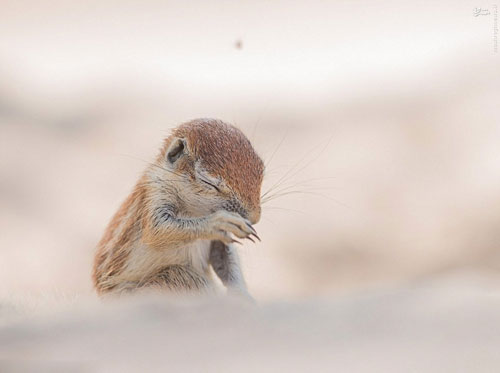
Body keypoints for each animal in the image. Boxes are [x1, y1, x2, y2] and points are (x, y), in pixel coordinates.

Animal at [92, 117, 264, 298]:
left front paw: (242, 295)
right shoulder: (154, 194)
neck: (195, 211)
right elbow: (156, 230)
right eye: (208, 182)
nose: (255, 218)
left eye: (262, 169)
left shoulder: (219, 241)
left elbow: (225, 257)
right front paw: (219, 222)